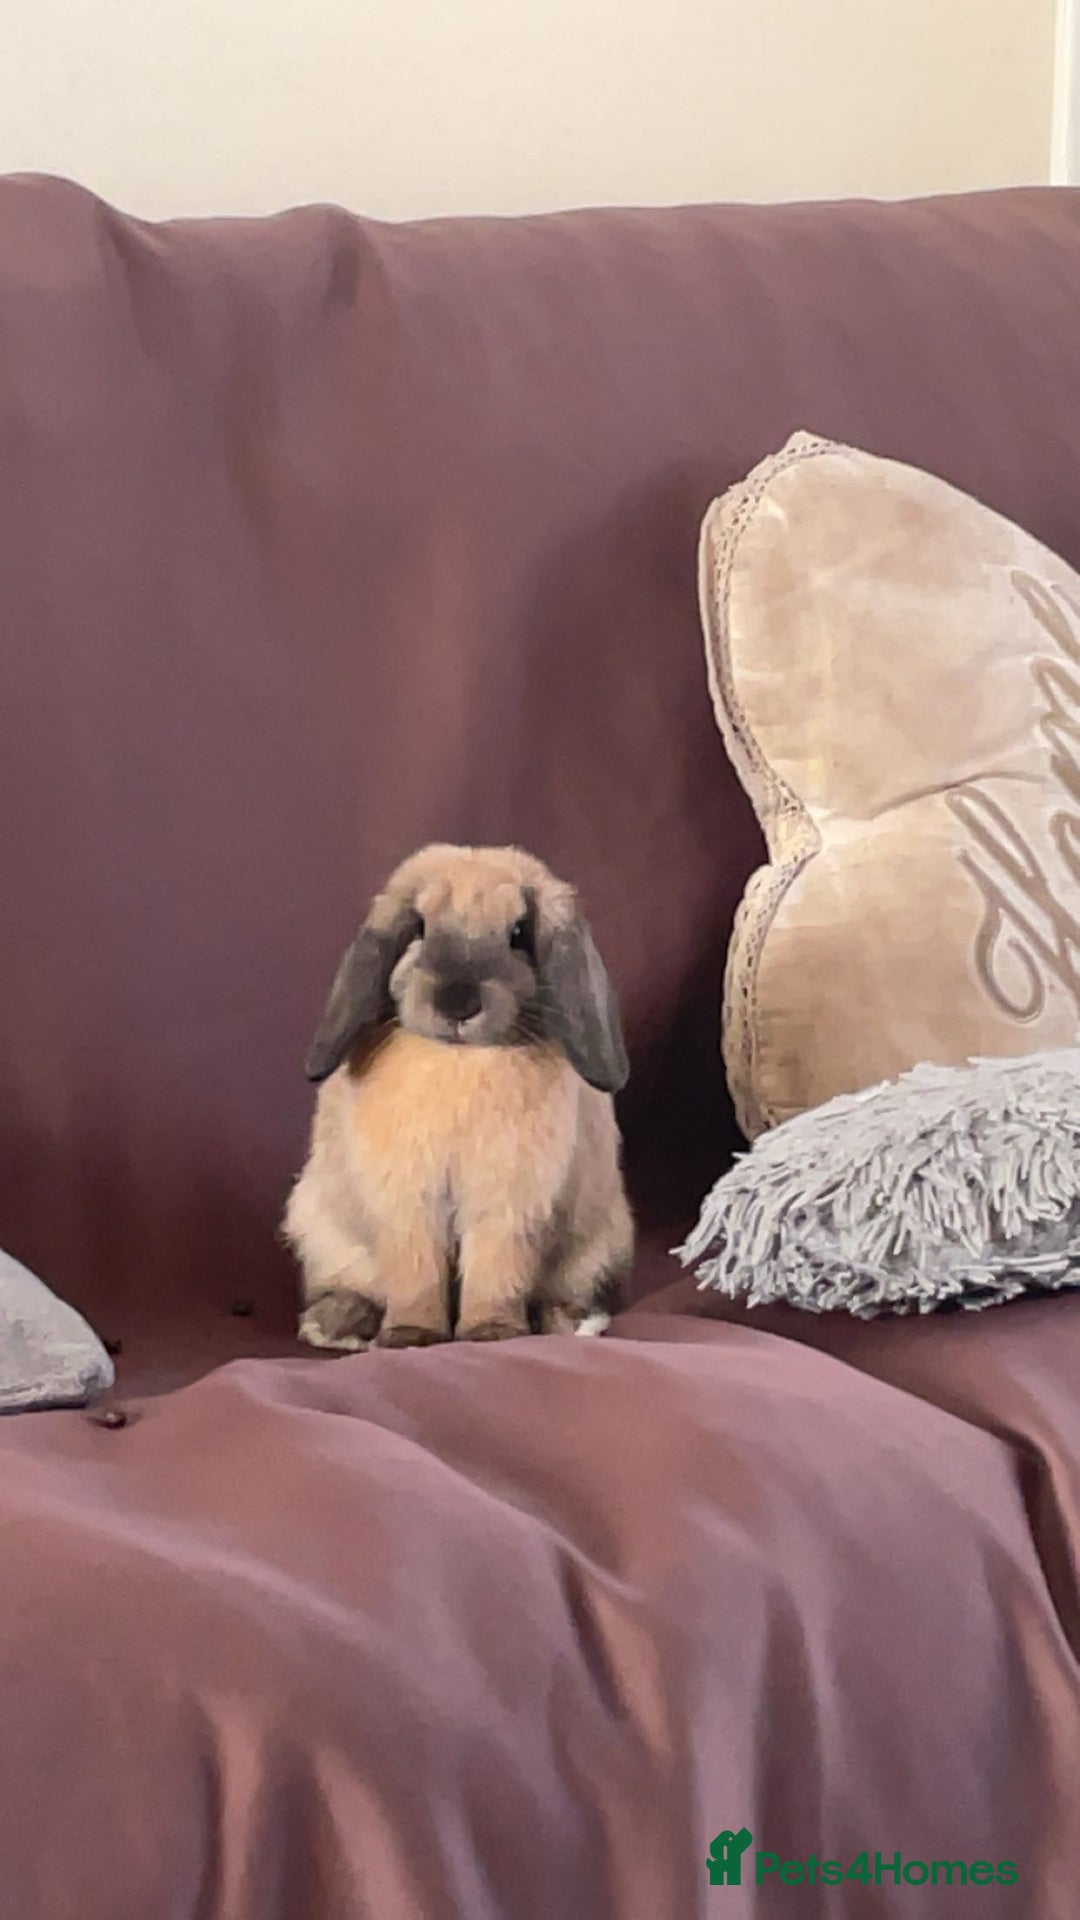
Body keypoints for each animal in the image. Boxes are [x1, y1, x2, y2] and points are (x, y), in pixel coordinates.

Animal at [284, 844, 634, 1350]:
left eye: (518, 933)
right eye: (419, 927)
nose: (458, 1002)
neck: (459, 1059)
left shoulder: (508, 1204)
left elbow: (496, 1269)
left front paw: (492, 1333)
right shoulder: (407, 1202)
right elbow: (416, 1272)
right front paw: (409, 1335)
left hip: (596, 1248)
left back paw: (568, 1320)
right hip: (322, 1232)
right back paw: (338, 1322)